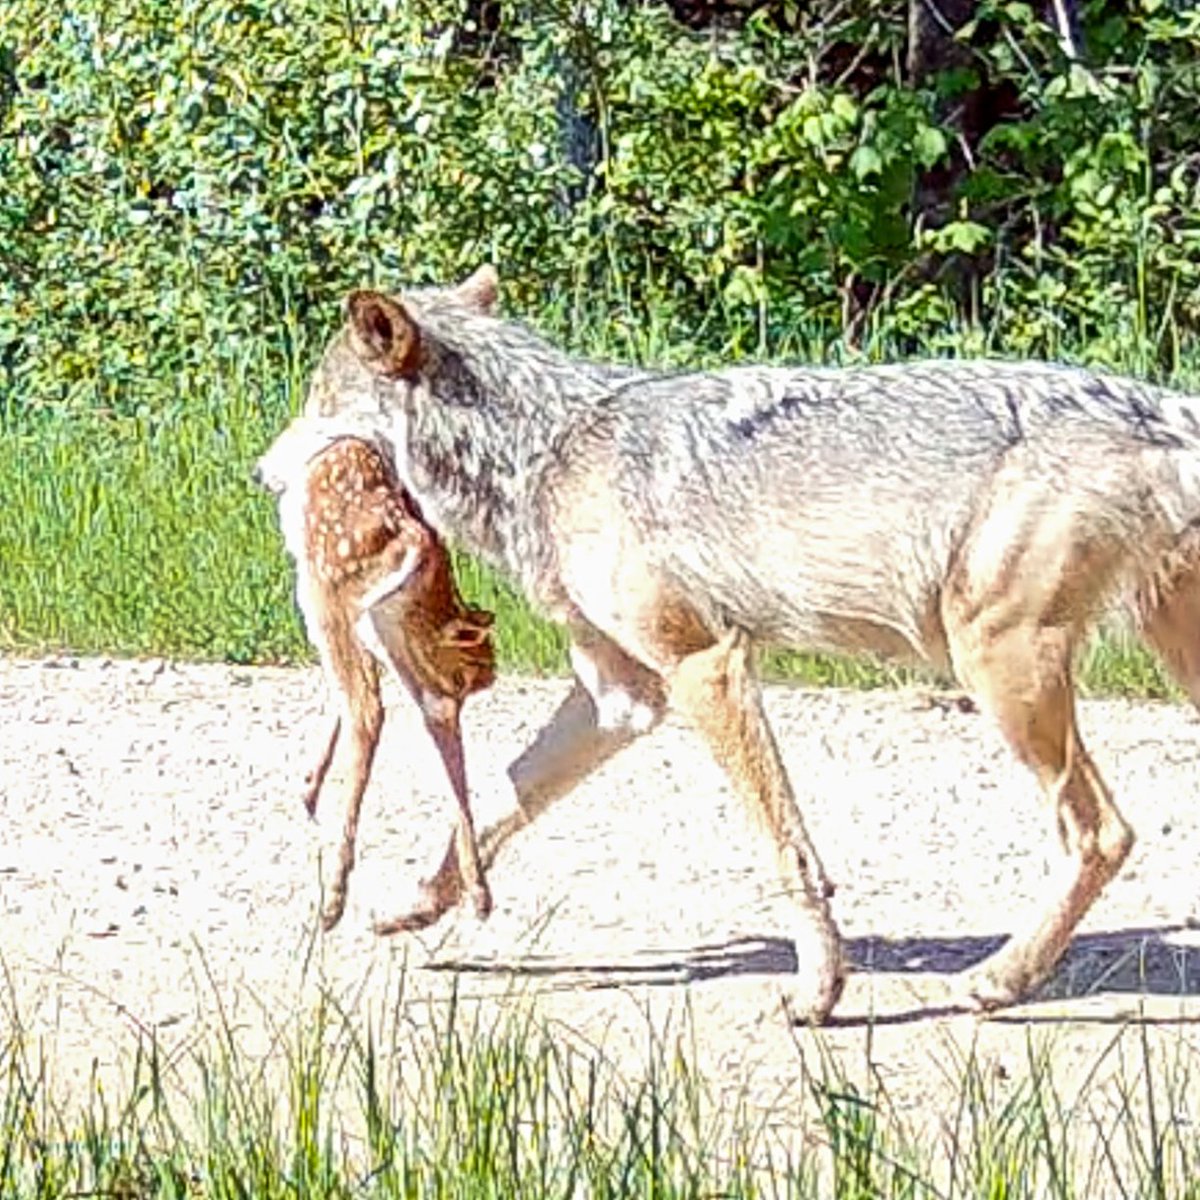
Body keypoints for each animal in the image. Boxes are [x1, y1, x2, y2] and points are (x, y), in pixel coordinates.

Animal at [295, 265, 1200, 1023]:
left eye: (314, 401)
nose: (272, 465)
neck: (545, 452)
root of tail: (1165, 404)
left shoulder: (706, 668)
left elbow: (786, 847)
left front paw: (818, 990)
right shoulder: (621, 699)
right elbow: (498, 799)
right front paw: (416, 901)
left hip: (994, 663)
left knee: (1102, 833)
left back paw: (999, 980)